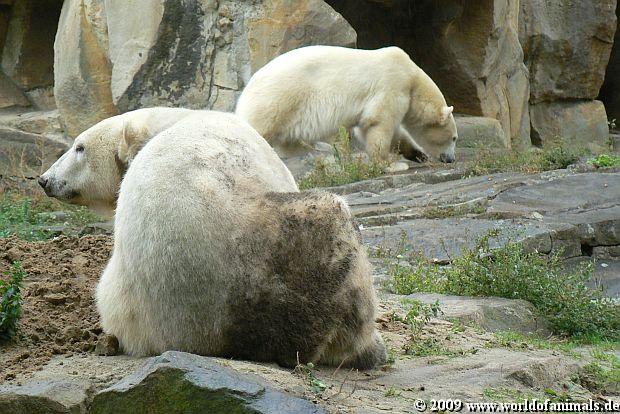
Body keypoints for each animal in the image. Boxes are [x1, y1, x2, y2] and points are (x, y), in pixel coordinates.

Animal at [236, 45, 458, 164]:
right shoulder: (392, 84)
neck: (413, 77)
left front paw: (418, 154)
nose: (451, 159)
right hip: (279, 97)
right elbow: (380, 123)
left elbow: (388, 129)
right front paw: (384, 160)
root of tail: (248, 85)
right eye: (454, 138)